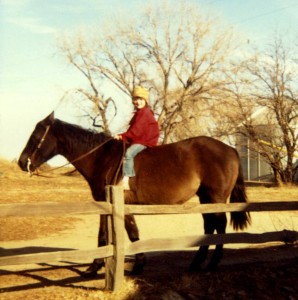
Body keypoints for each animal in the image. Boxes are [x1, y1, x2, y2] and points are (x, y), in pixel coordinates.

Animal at [18, 112, 250, 276]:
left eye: (36, 136)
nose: (21, 162)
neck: (102, 157)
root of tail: (230, 149)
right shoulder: (116, 205)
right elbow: (121, 234)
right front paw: (119, 266)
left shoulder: (111, 204)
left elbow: (117, 235)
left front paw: (102, 267)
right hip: (205, 199)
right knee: (209, 226)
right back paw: (196, 263)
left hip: (215, 198)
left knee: (219, 225)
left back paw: (212, 263)